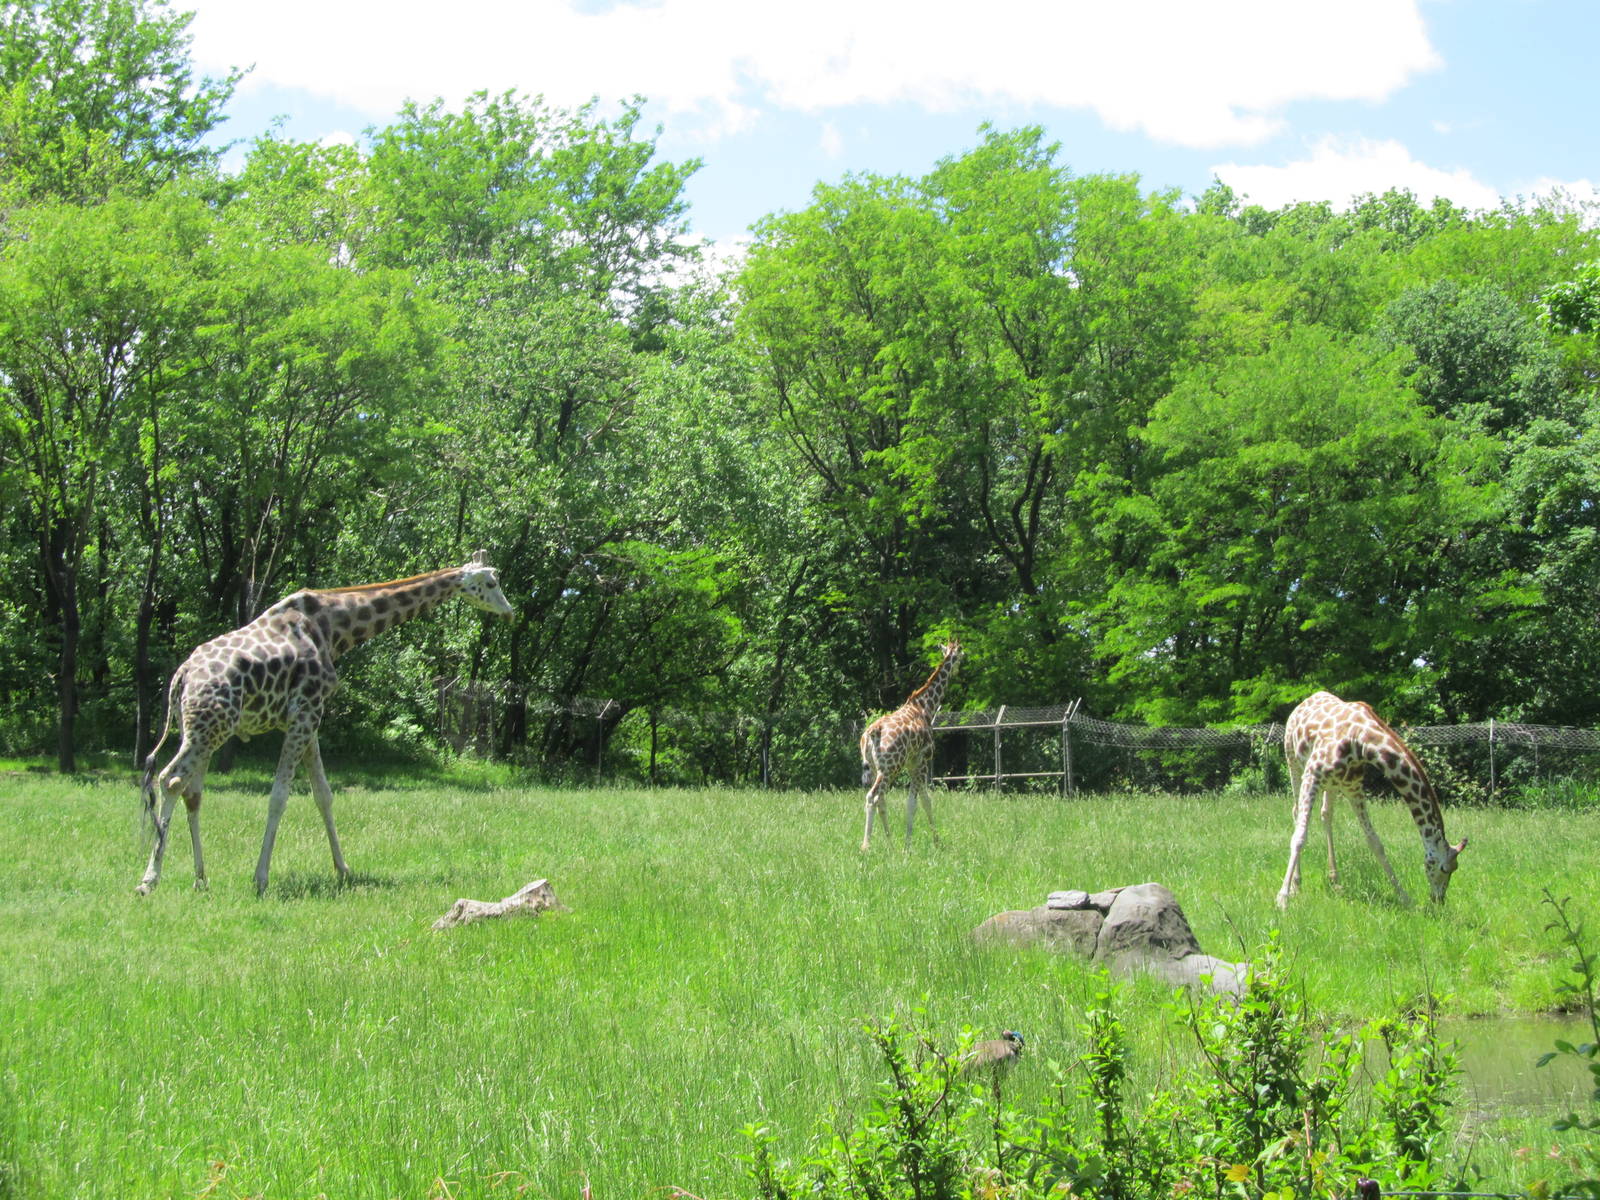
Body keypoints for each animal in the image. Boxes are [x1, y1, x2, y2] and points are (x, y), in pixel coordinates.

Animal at [135, 552, 514, 896]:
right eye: (491, 582)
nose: (508, 611)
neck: (335, 629)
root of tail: (182, 676)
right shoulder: (305, 712)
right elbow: (279, 795)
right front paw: (261, 879)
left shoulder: (309, 719)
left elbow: (323, 794)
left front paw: (343, 870)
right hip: (209, 728)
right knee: (171, 779)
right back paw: (149, 880)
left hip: (202, 729)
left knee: (192, 792)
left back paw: (200, 879)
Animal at [859, 639, 962, 850]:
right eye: (962, 654)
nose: (958, 672)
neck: (926, 707)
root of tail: (871, 734)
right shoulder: (922, 760)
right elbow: (920, 802)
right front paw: (924, 844)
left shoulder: (911, 763)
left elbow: (918, 801)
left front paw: (909, 844)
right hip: (889, 768)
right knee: (873, 797)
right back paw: (866, 846)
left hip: (876, 768)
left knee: (881, 800)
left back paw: (890, 844)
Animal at [1276, 690, 1467, 909]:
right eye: (1444, 868)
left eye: (1456, 868)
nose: (1438, 899)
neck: (1361, 741)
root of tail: (1306, 701)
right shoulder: (1312, 775)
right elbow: (1300, 836)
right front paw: (1283, 898)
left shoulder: (1353, 788)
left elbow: (1375, 842)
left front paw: (1404, 897)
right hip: (1293, 760)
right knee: (1296, 812)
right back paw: (1297, 884)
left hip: (1332, 783)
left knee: (1326, 815)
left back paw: (1335, 881)